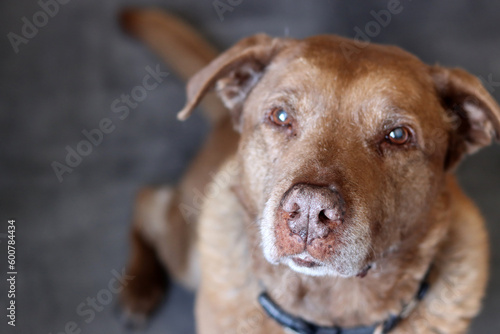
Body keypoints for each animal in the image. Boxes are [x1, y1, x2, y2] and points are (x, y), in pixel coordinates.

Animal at [118, 8, 500, 334]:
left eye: (398, 136)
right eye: (280, 116)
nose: (310, 210)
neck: (325, 308)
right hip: (185, 251)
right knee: (146, 200)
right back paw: (139, 286)